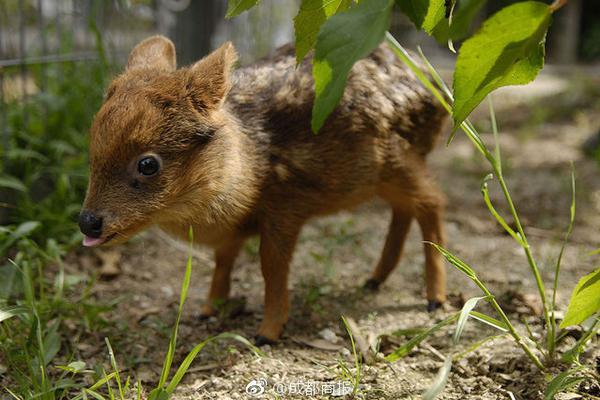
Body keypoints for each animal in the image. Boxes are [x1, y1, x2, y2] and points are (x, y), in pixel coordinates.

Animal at [78, 36, 446, 346]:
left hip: (400, 159)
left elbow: (271, 266)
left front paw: (267, 333)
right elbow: (224, 258)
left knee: (431, 202)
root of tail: (435, 87)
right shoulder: (233, 230)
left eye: (148, 164)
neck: (250, 165)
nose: (87, 222)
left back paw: (435, 299)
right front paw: (210, 308)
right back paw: (374, 279)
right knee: (405, 209)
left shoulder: (285, 207)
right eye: (93, 149)